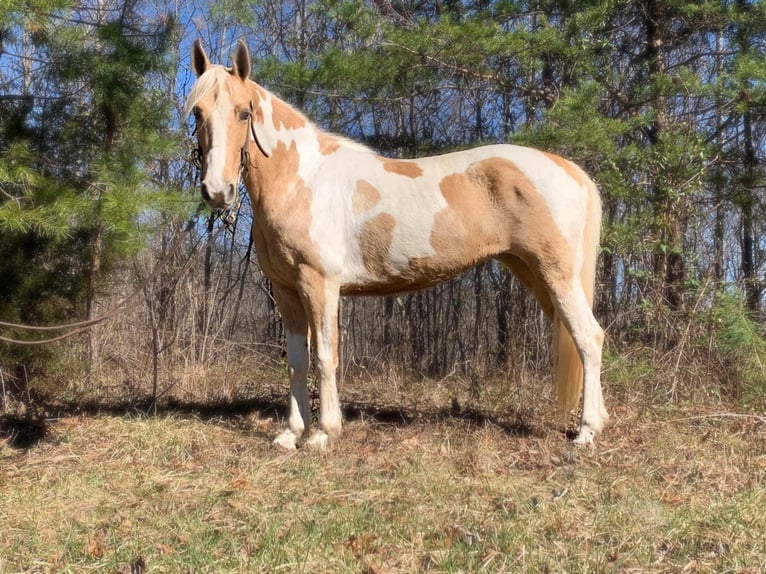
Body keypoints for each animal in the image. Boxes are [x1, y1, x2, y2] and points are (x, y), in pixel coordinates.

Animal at [188, 40, 612, 452]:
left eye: (244, 112)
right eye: (197, 113)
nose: (217, 191)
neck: (302, 179)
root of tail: (570, 169)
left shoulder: (320, 284)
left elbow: (325, 356)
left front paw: (324, 433)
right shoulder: (286, 290)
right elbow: (296, 361)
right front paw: (291, 434)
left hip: (557, 275)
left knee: (589, 338)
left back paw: (586, 432)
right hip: (536, 276)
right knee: (579, 337)